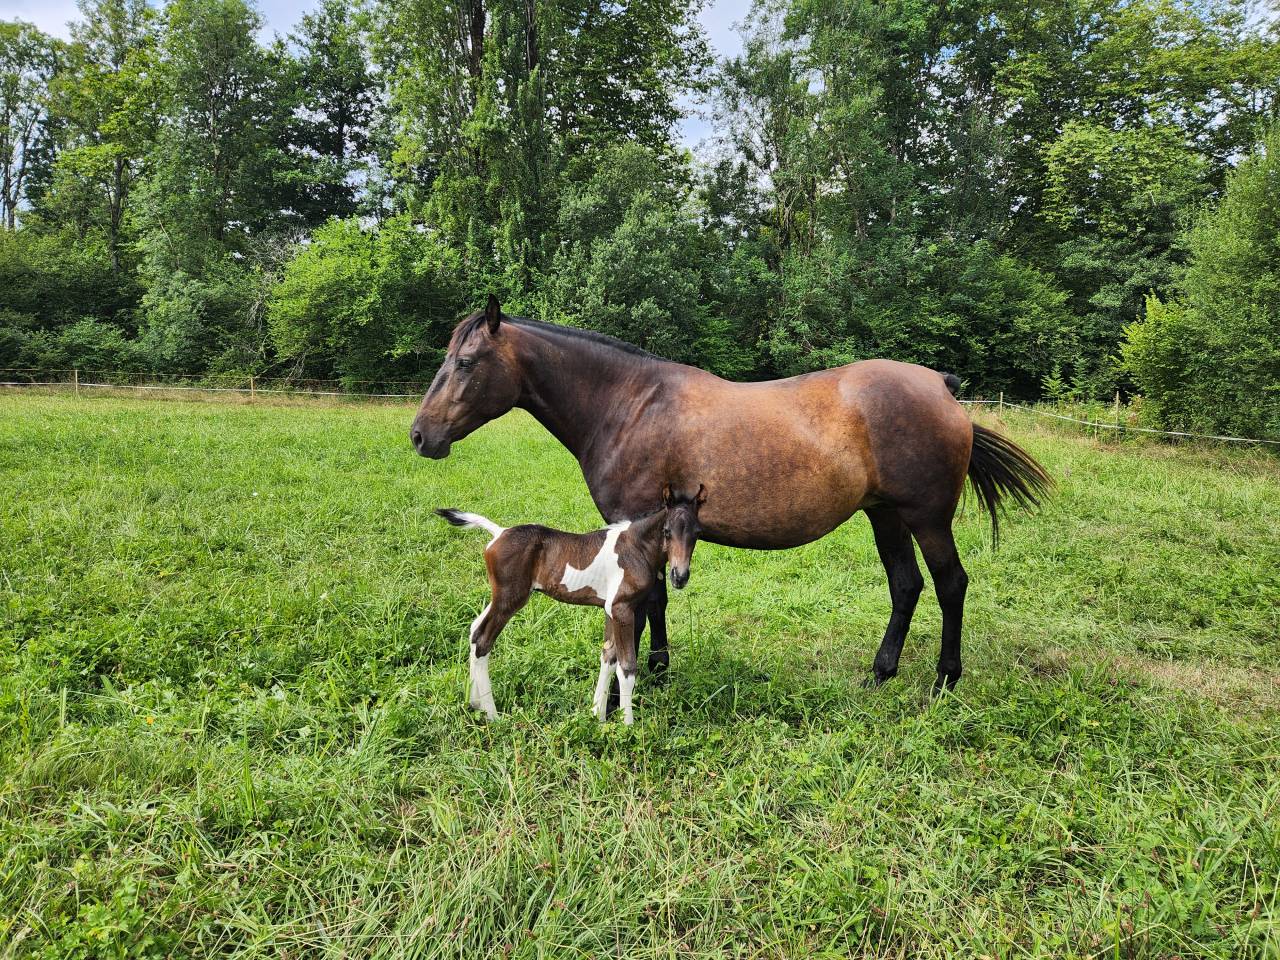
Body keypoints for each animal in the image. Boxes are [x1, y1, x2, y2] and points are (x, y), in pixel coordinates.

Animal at [412, 296, 1050, 693]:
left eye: (465, 362)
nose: (421, 435)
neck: (628, 404)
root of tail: (942, 386)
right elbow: (658, 601)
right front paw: (660, 670)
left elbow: (647, 604)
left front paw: (645, 677)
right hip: (886, 516)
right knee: (907, 585)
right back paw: (880, 673)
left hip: (926, 517)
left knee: (949, 584)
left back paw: (944, 677)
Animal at [436, 484, 705, 724]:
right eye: (667, 531)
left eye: (696, 534)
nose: (679, 577)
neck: (635, 548)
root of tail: (498, 532)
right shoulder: (622, 609)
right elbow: (627, 667)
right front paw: (627, 726)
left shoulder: (609, 609)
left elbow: (608, 657)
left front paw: (598, 716)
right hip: (509, 599)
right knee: (483, 640)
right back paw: (492, 715)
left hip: (499, 597)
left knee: (473, 630)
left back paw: (475, 703)